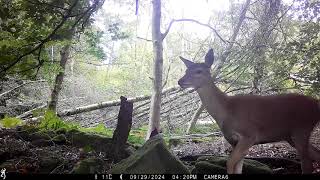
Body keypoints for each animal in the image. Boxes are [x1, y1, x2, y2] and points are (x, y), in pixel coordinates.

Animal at [178, 48, 320, 174]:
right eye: (186, 70)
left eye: (199, 71)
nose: (180, 81)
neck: (226, 110)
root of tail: (316, 104)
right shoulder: (234, 141)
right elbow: (237, 168)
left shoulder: (250, 135)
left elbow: (229, 163)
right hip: (291, 135)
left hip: (302, 129)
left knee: (308, 164)